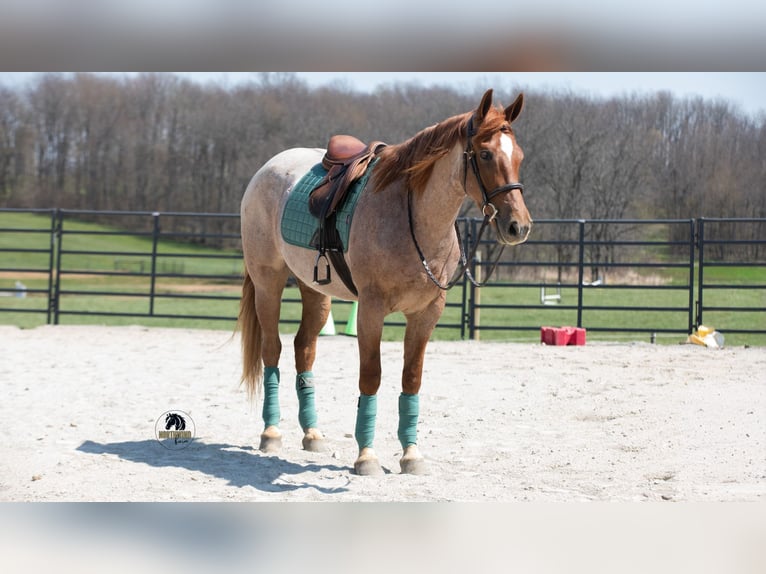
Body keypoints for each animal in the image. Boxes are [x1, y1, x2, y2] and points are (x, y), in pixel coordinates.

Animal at [238, 88, 532, 476]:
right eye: (485, 154)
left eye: (519, 156)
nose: (519, 226)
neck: (413, 219)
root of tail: (267, 168)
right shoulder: (371, 311)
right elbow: (371, 377)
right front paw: (367, 456)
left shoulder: (426, 314)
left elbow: (411, 379)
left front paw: (411, 454)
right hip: (268, 282)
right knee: (273, 351)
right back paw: (271, 433)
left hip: (315, 292)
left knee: (305, 350)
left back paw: (312, 434)